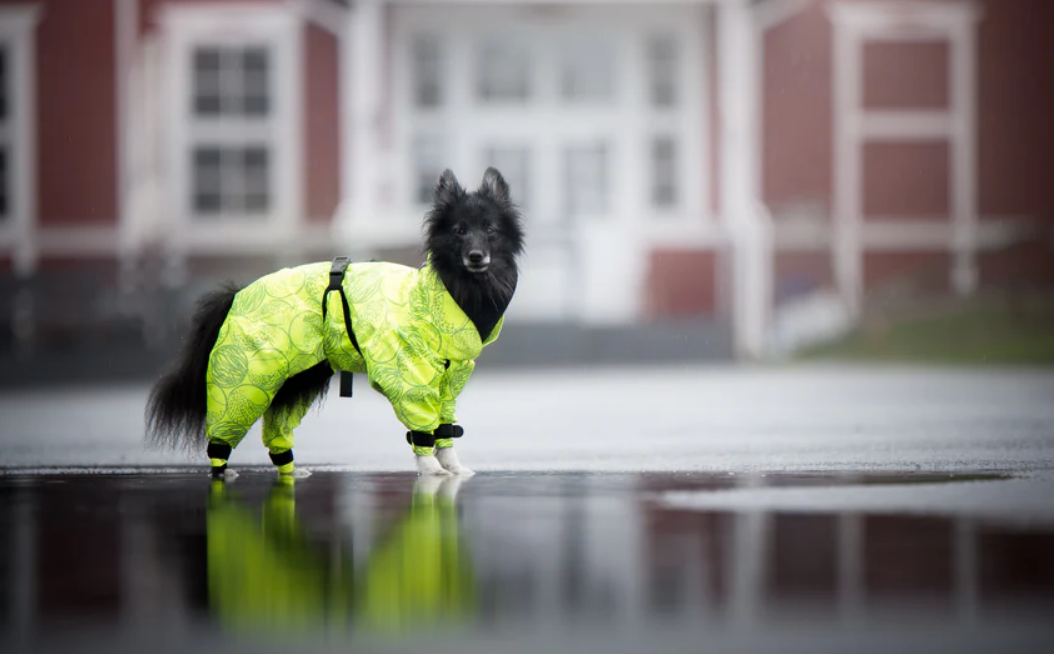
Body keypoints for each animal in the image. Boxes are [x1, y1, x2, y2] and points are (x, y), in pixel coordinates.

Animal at [146, 167, 524, 474]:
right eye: (459, 231)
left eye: (490, 229)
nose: (476, 255)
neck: (448, 293)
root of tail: (237, 293)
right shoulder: (409, 375)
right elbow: (422, 430)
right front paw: (431, 470)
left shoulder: (450, 382)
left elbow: (445, 430)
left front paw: (454, 468)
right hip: (246, 382)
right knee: (223, 433)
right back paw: (222, 471)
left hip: (296, 380)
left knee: (276, 429)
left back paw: (291, 470)